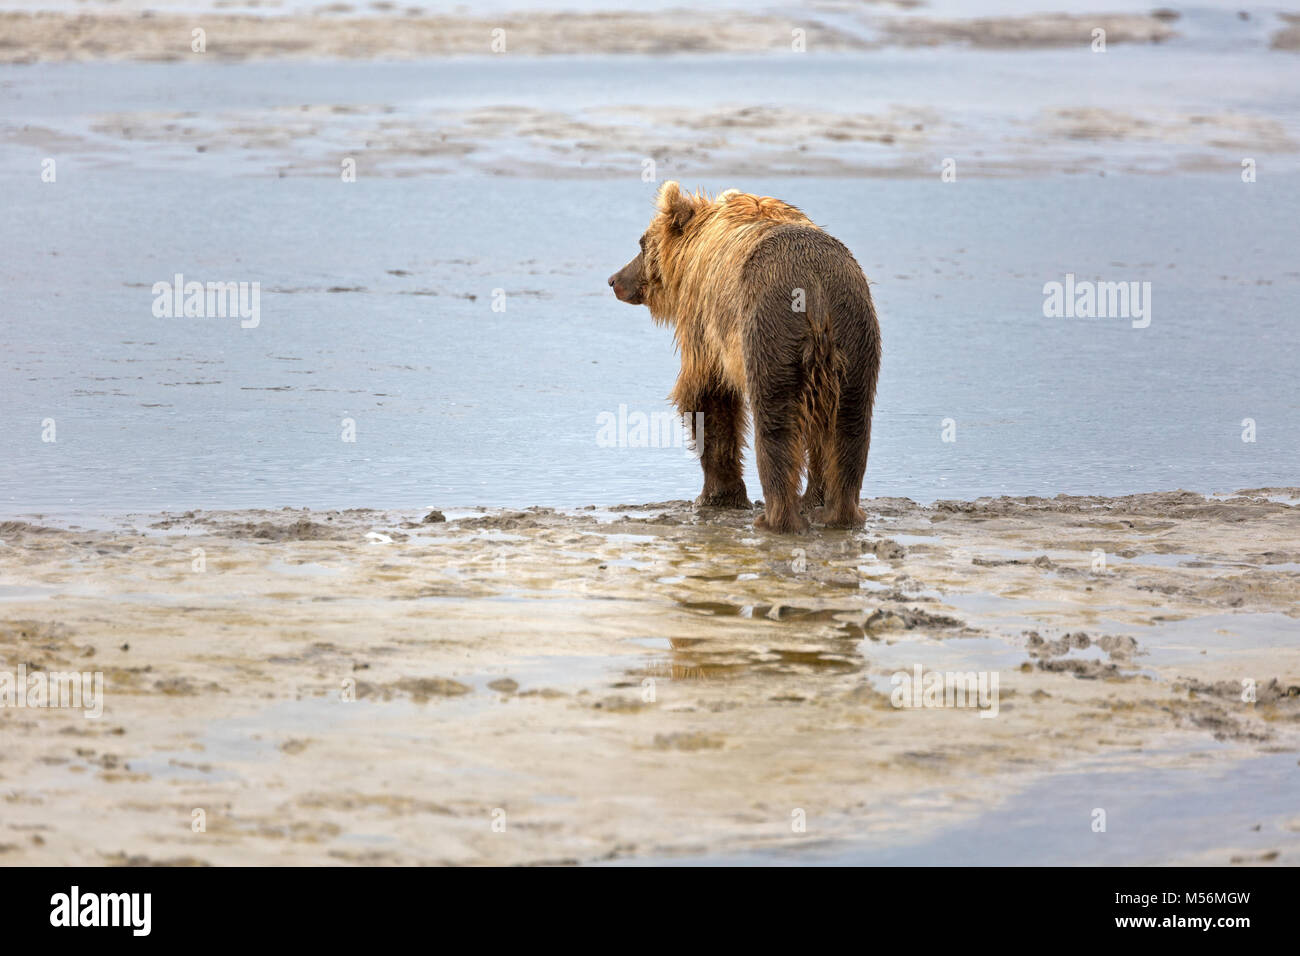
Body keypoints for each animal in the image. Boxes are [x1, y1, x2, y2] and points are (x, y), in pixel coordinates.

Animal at [611, 183, 883, 535]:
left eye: (642, 243)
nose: (615, 280)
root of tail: (816, 287)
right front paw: (814, 499)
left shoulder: (704, 322)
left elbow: (708, 395)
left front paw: (717, 495)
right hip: (855, 334)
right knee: (849, 423)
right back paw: (840, 512)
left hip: (770, 330)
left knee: (776, 424)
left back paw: (776, 517)